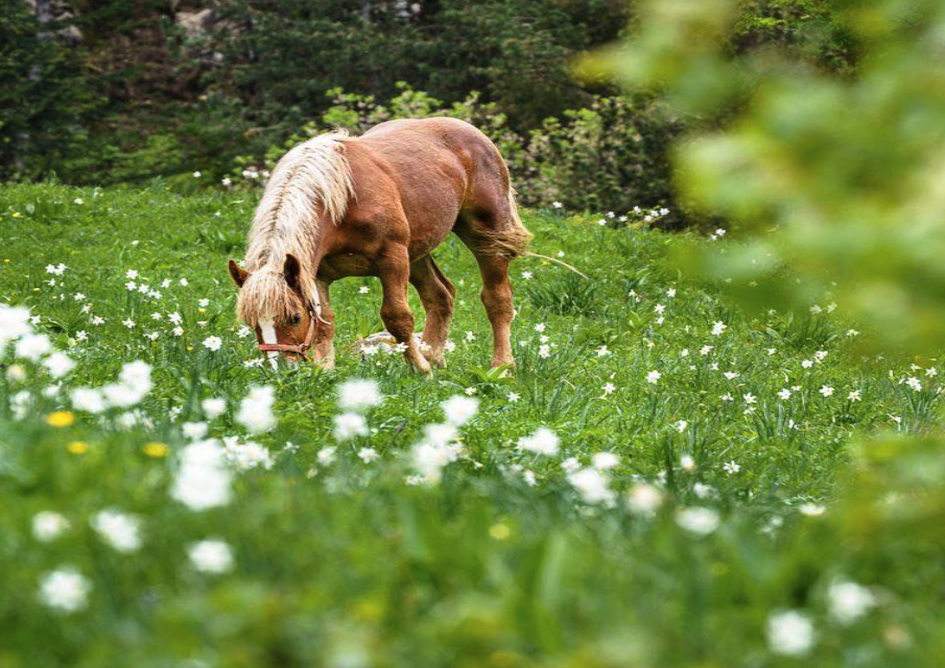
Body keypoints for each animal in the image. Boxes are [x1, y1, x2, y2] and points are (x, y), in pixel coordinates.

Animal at [228, 117, 532, 374]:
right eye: (252, 322)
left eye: (293, 317)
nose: (280, 370)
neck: (343, 202)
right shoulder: (316, 274)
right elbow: (325, 322)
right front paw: (325, 371)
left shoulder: (392, 259)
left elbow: (397, 316)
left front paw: (420, 371)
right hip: (417, 252)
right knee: (440, 295)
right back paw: (433, 355)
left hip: (486, 236)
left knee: (497, 298)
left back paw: (502, 366)